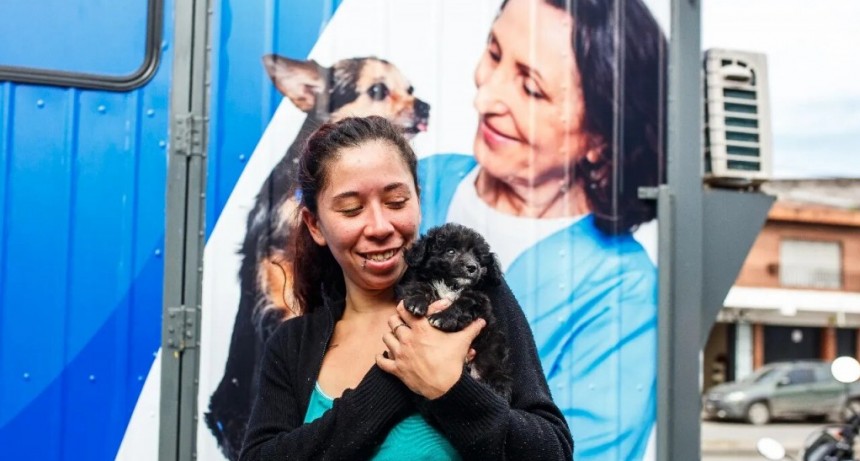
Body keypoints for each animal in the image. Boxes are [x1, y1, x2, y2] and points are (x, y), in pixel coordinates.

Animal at [396, 223, 510, 398]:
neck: (451, 284)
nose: (472, 267)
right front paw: (416, 302)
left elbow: (463, 304)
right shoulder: (419, 282)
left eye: (478, 258)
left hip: (493, 353)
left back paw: (499, 388)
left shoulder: (479, 300)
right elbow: (419, 286)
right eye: (451, 251)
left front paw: (443, 317)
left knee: (499, 374)